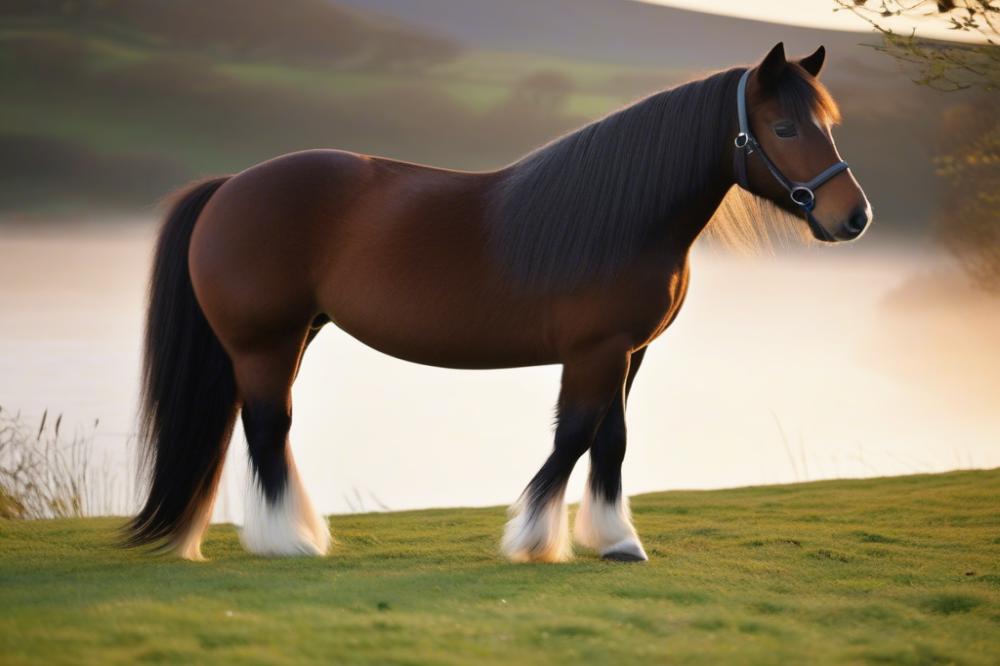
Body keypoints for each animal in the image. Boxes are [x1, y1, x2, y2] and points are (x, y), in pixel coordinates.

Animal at [125, 41, 872, 560]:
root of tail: (230, 186)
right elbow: (573, 437)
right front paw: (535, 537)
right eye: (785, 130)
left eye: (828, 124)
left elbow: (612, 441)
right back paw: (292, 541)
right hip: (266, 342)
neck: (624, 218)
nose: (854, 217)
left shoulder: (629, 353)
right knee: (267, 428)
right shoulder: (595, 353)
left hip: (293, 335)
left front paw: (615, 541)